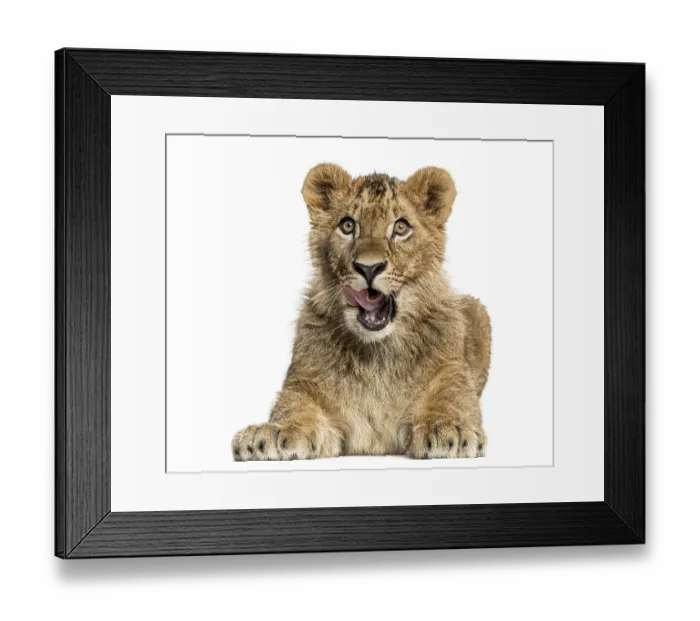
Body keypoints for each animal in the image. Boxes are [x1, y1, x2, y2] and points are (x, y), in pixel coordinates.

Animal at [232, 164, 491, 461]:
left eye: (401, 227)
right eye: (347, 225)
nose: (369, 267)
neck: (376, 353)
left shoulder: (450, 373)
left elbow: (450, 401)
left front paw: (448, 428)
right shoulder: (304, 385)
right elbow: (294, 409)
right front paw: (272, 432)